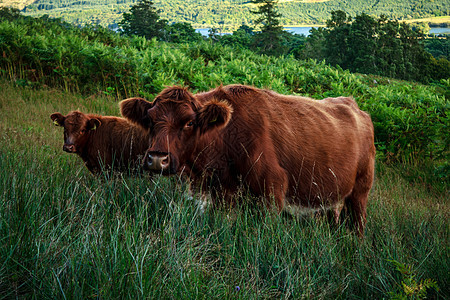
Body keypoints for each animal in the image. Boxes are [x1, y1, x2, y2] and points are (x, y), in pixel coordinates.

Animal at [119, 84, 376, 234]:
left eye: (189, 122)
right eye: (150, 120)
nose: (156, 158)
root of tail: (356, 107)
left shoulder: (272, 191)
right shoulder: (221, 195)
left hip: (360, 192)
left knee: (358, 224)